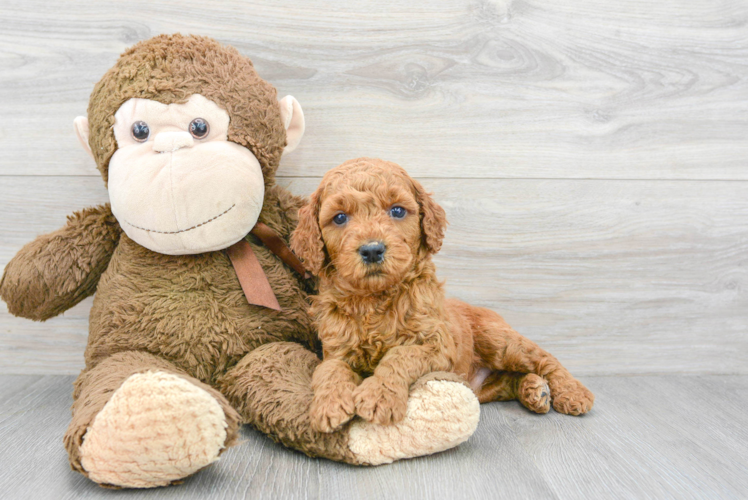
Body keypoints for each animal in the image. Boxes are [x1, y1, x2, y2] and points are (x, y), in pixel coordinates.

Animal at [290, 158, 592, 432]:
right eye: (340, 217)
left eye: (397, 211)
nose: (372, 250)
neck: (375, 299)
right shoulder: (336, 351)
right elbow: (329, 371)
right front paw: (329, 405)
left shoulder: (437, 344)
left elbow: (400, 355)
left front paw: (379, 396)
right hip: (484, 385)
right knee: (509, 380)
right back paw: (533, 389)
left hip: (499, 340)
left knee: (544, 358)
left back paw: (572, 392)